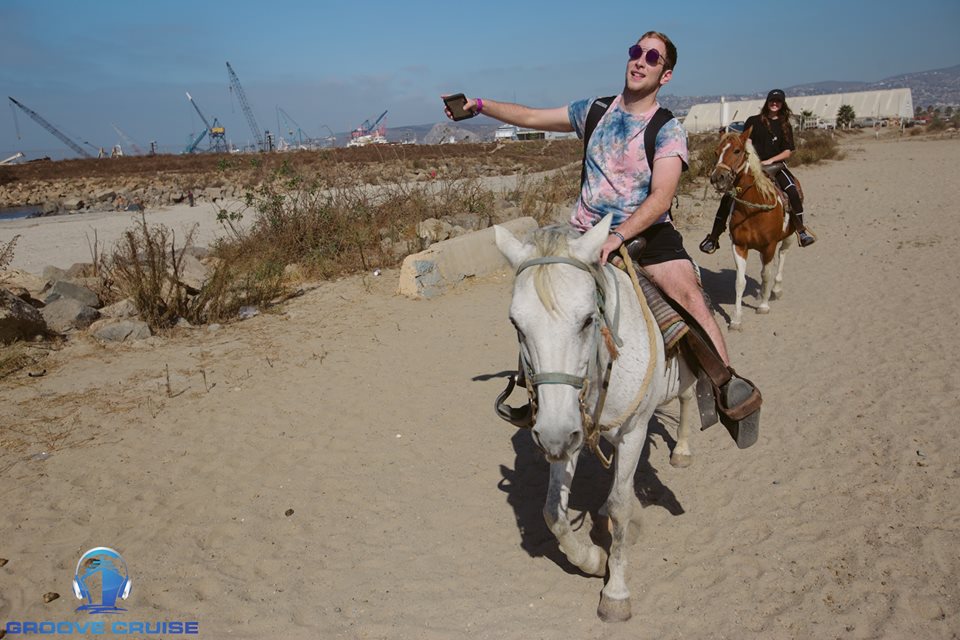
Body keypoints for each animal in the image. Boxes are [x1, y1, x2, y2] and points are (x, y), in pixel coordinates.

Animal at [496, 215, 696, 620]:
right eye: (516, 325)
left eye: (588, 319)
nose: (552, 435)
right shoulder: (569, 432)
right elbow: (553, 512)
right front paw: (591, 559)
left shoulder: (633, 431)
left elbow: (621, 508)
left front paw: (616, 592)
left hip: (683, 377)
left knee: (686, 397)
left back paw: (682, 449)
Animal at [704, 128, 796, 332]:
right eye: (715, 152)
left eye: (737, 150)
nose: (717, 178)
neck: (752, 209)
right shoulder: (739, 246)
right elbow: (740, 282)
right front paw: (736, 319)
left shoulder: (770, 245)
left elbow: (766, 274)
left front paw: (763, 305)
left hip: (790, 236)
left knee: (783, 255)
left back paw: (776, 290)